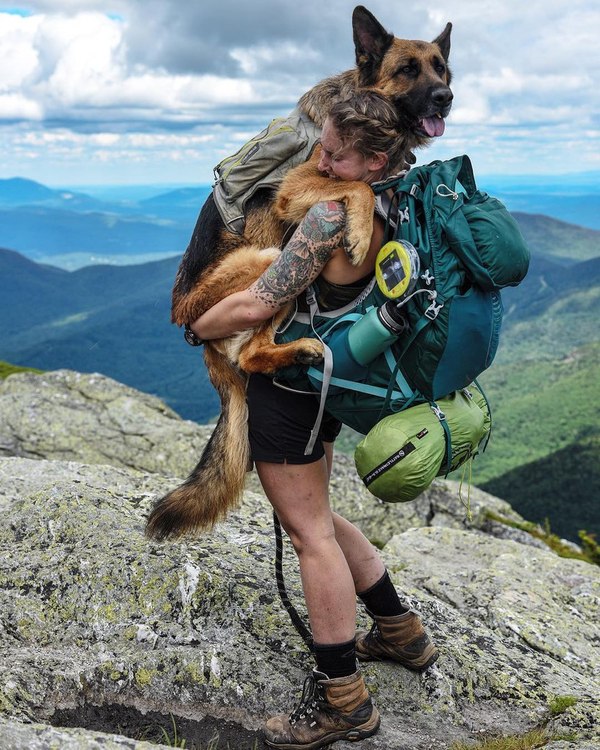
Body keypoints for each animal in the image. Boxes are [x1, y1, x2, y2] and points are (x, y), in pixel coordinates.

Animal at [146, 7, 450, 548]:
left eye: (441, 67)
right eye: (408, 69)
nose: (446, 97)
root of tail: (189, 325)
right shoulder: (300, 186)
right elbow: (357, 187)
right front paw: (358, 229)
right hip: (270, 260)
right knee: (252, 352)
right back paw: (300, 349)